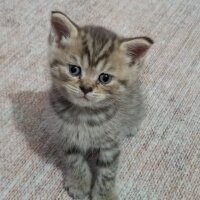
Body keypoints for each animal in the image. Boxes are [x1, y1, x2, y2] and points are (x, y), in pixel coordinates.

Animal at [48, 10, 153, 200]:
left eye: (105, 78)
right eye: (74, 70)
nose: (86, 88)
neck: (84, 114)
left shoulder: (111, 144)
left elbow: (107, 171)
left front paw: (105, 194)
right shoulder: (66, 135)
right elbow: (74, 161)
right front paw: (79, 183)